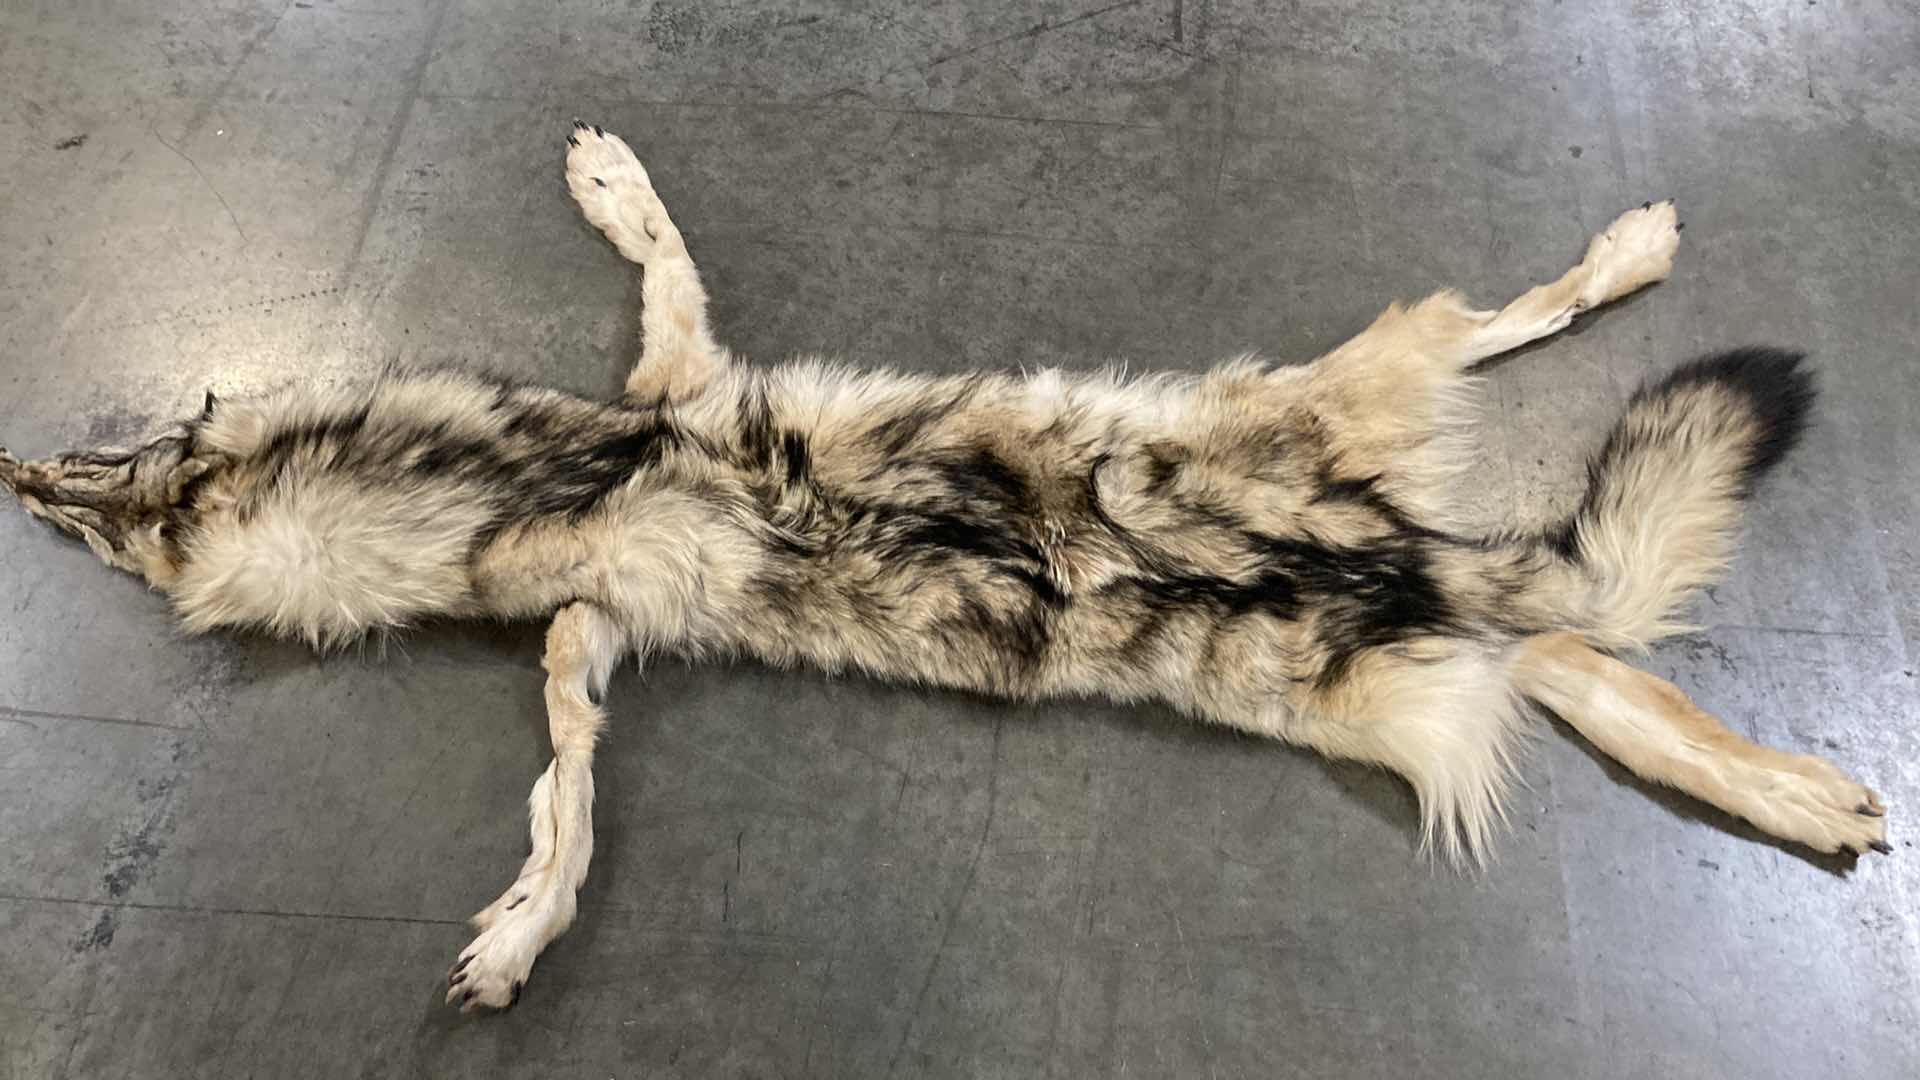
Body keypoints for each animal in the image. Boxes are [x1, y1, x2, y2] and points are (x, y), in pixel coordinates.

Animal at [0, 121, 1887, 1011]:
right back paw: (1806, 797)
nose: (26, 471)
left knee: (1521, 320)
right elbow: (569, 793)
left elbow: (658, 249)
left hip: (1360, 397)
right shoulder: (587, 632)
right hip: (1389, 678)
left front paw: (522, 936)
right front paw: (530, 920)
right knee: (1599, 671)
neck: (543, 477)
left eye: (122, 490)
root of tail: (1408, 557)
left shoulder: (661, 412)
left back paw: (1630, 252)